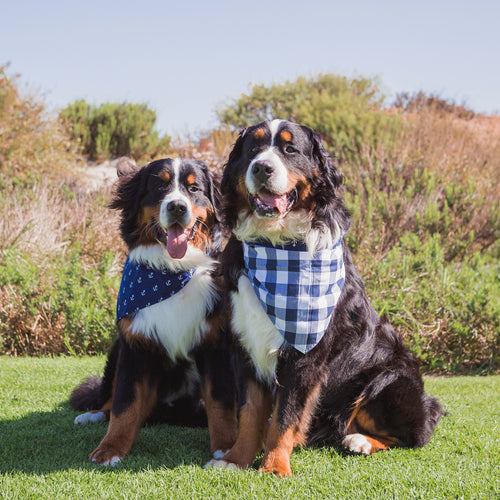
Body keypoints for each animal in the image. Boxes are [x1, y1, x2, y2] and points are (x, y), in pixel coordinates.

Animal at [70, 158, 238, 466]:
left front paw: (225, 448)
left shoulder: (216, 345)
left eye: (194, 188)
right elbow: (124, 405)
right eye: (160, 185)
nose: (177, 207)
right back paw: (92, 415)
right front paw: (110, 449)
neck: (171, 271)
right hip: (116, 349)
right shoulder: (135, 346)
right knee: (109, 400)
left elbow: (221, 403)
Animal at [205, 120, 444, 476]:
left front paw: (274, 467)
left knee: (412, 434)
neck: (276, 246)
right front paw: (236, 459)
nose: (261, 167)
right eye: (252, 149)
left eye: (290, 149)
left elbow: (284, 417)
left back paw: (360, 441)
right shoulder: (247, 346)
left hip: (389, 379)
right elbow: (249, 414)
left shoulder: (306, 354)